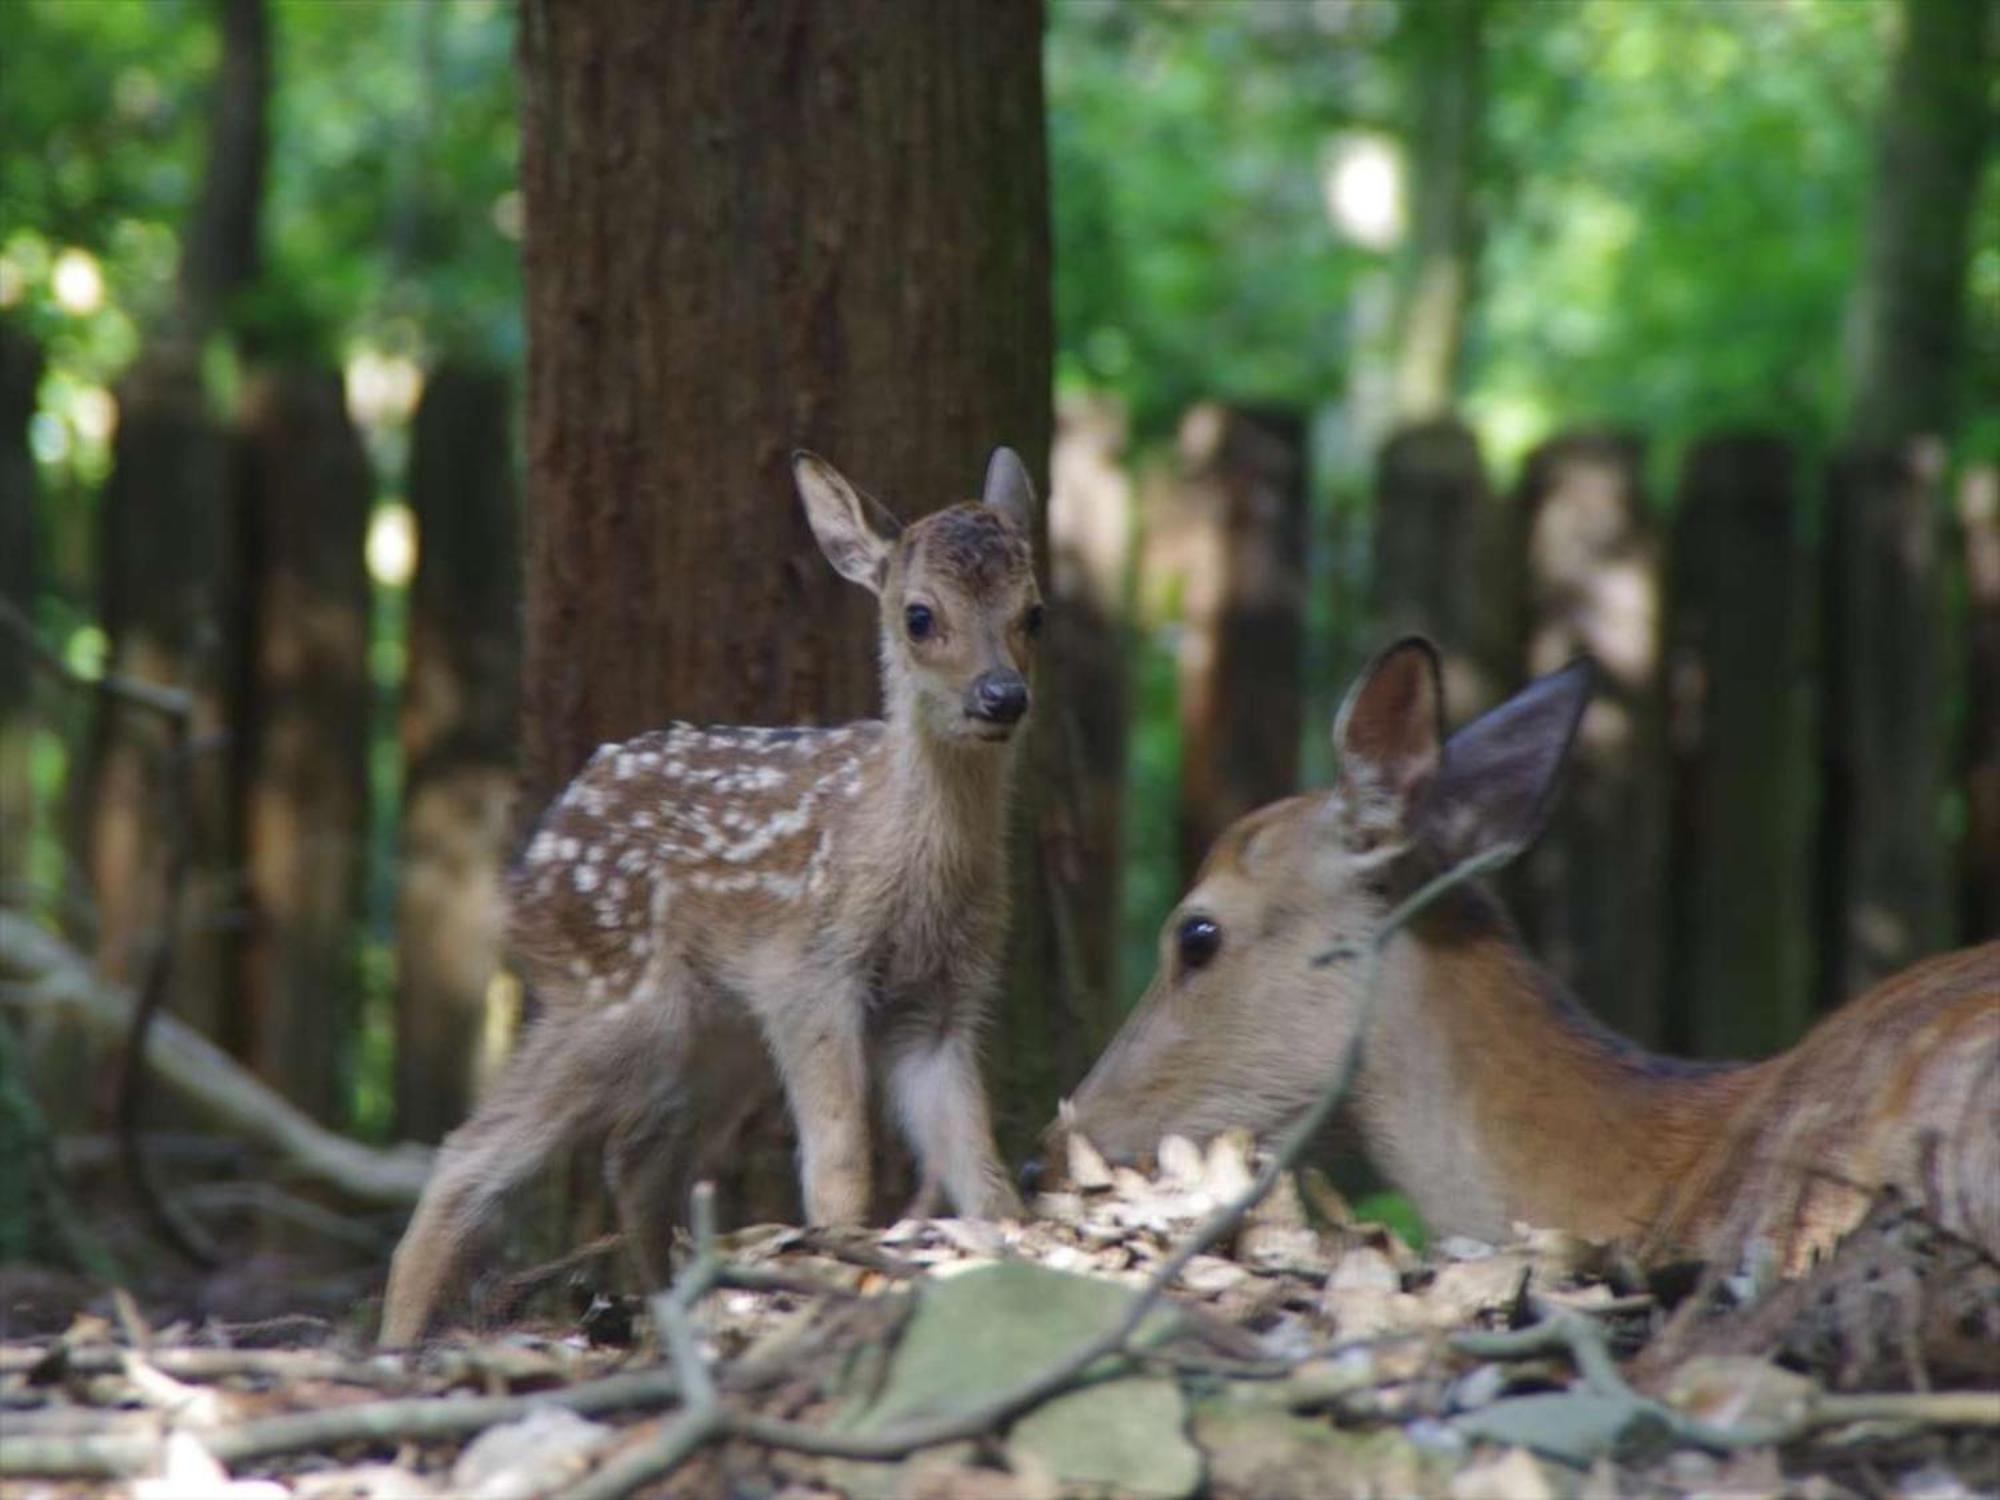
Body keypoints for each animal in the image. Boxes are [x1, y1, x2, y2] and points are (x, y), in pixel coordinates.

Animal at [378, 450, 1048, 1352]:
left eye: (1034, 613)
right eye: (919, 616)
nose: (1001, 697)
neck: (903, 864)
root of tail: (523, 876)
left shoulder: (941, 1004)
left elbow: (981, 1167)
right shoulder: (811, 973)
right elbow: (840, 1163)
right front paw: (843, 1268)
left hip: (717, 1029)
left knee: (636, 1160)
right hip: (615, 997)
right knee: (469, 1150)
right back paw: (396, 1345)